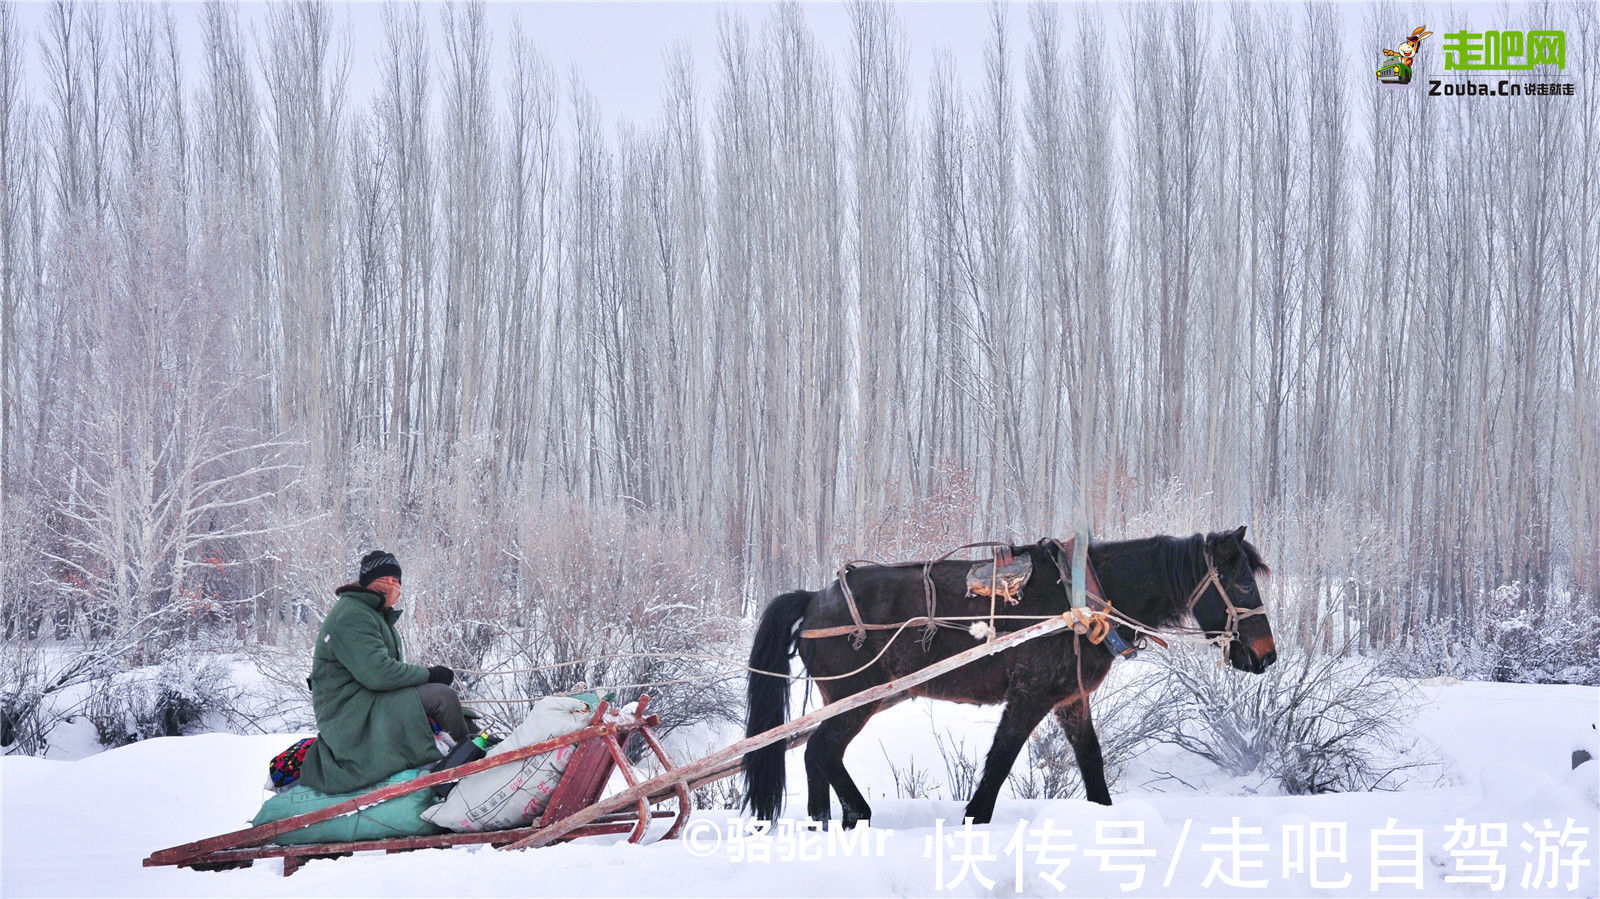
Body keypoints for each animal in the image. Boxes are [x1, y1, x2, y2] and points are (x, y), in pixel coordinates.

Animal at [742, 524, 1280, 825]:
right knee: (821, 751)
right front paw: (973, 820)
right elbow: (1000, 762)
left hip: (844, 699)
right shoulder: (1030, 696)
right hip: (859, 696)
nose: (1267, 655)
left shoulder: (1070, 699)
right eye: (1241, 583)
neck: (1082, 597)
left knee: (814, 757)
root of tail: (814, 599)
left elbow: (1091, 763)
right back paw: (858, 815)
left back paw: (824, 824)